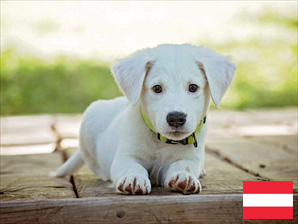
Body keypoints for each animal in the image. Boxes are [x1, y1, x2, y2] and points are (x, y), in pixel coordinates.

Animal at [57, 43, 236, 194]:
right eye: (157, 88)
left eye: (193, 87)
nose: (176, 118)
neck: (161, 141)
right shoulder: (125, 156)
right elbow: (133, 167)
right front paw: (134, 178)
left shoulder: (190, 158)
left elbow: (183, 165)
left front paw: (184, 177)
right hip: (90, 121)